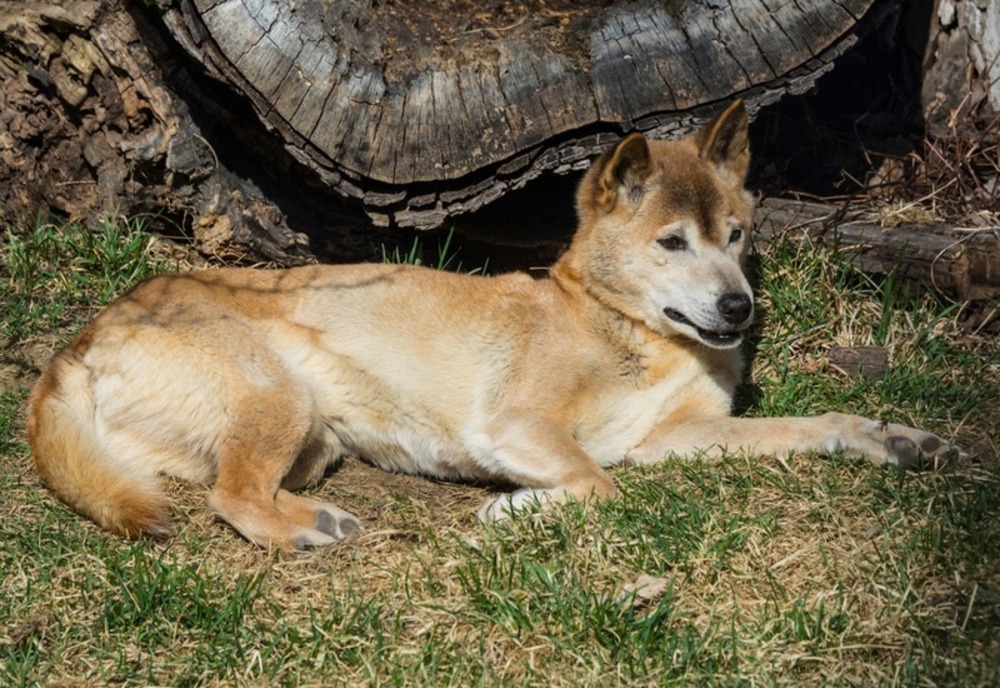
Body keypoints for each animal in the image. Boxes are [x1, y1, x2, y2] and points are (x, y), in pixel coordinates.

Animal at [25, 102, 960, 552]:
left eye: (736, 236)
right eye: (672, 243)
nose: (739, 308)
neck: (631, 335)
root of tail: (83, 335)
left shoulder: (671, 439)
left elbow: (806, 426)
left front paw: (892, 439)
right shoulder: (517, 427)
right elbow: (597, 483)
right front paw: (515, 512)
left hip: (312, 437)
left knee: (241, 484)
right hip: (279, 396)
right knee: (232, 494)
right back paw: (306, 532)